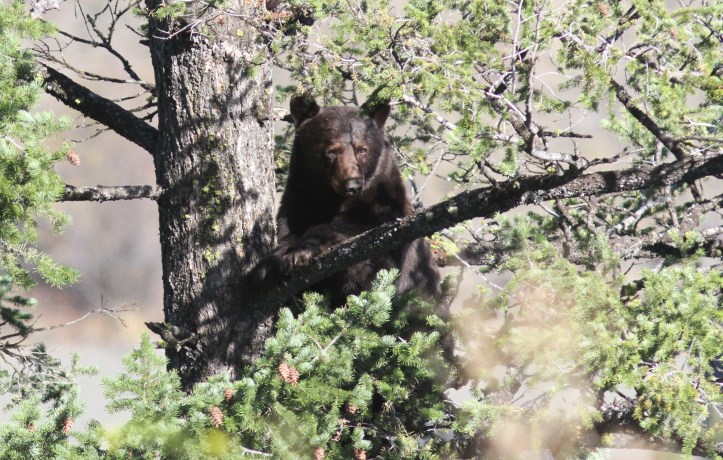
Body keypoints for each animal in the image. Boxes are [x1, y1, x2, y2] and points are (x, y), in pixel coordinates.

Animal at [257, 95, 440, 306]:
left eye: (362, 149)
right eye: (331, 151)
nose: (352, 184)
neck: (331, 199)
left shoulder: (384, 211)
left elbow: (368, 255)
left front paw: (300, 252)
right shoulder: (300, 201)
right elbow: (287, 232)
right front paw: (271, 264)